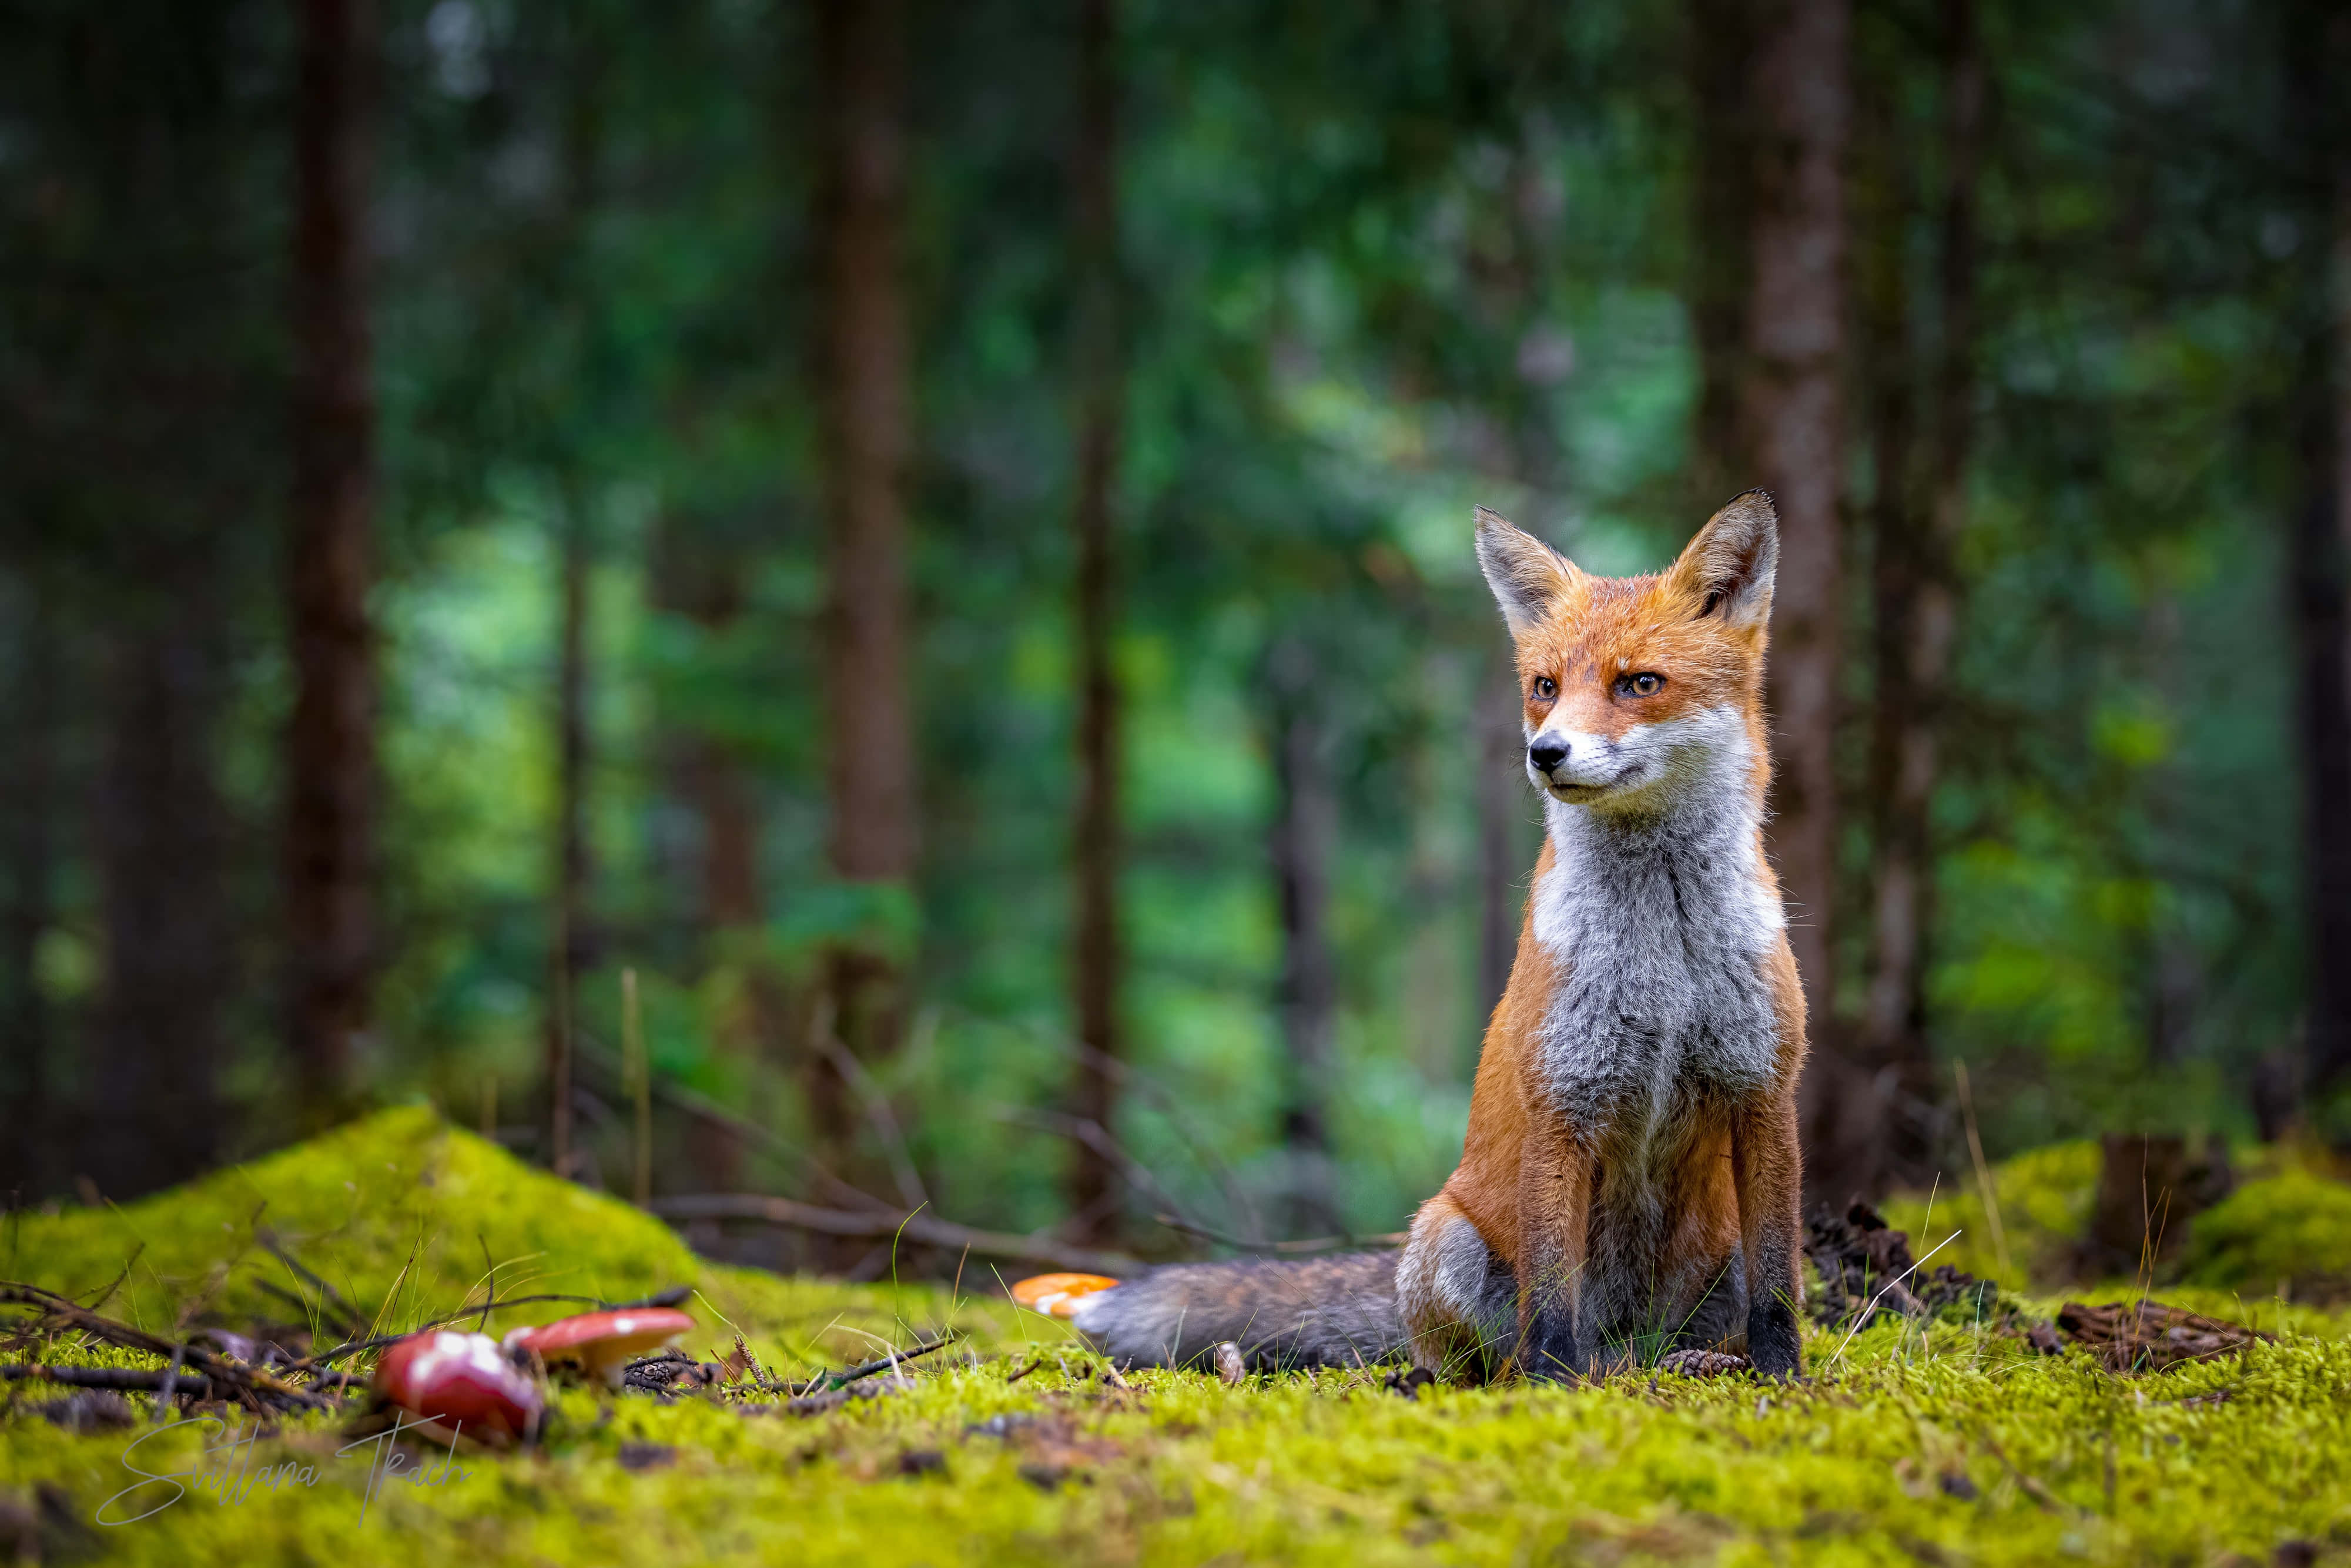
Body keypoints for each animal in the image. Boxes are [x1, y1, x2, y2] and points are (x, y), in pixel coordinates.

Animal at [1019, 492, 1808, 1381]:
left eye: (1639, 683)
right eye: (1545, 687)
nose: (1545, 752)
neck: (1664, 951)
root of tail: (1626, 1346)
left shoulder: (1765, 1089)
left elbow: (1778, 1288)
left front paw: (1785, 1376)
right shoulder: (1563, 1098)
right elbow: (1551, 1296)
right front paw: (1553, 1390)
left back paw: (1692, 1364)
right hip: (1445, 1237)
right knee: (1491, 1351)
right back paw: (1504, 1376)